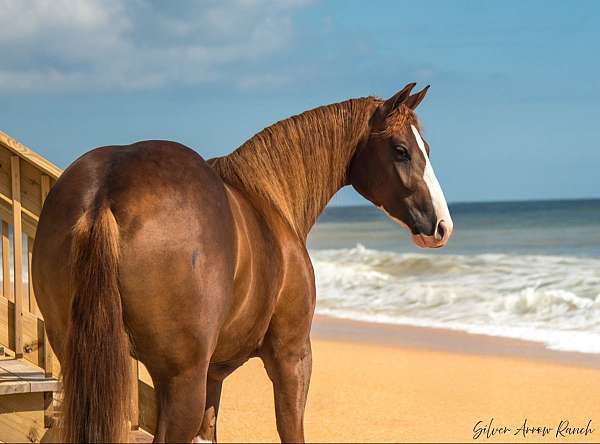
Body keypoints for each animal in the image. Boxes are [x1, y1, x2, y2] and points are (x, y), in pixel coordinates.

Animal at [31, 82, 450, 440]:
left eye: (427, 148)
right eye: (401, 150)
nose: (442, 225)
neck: (269, 198)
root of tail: (107, 190)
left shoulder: (214, 375)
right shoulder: (292, 356)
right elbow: (290, 430)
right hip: (181, 381)